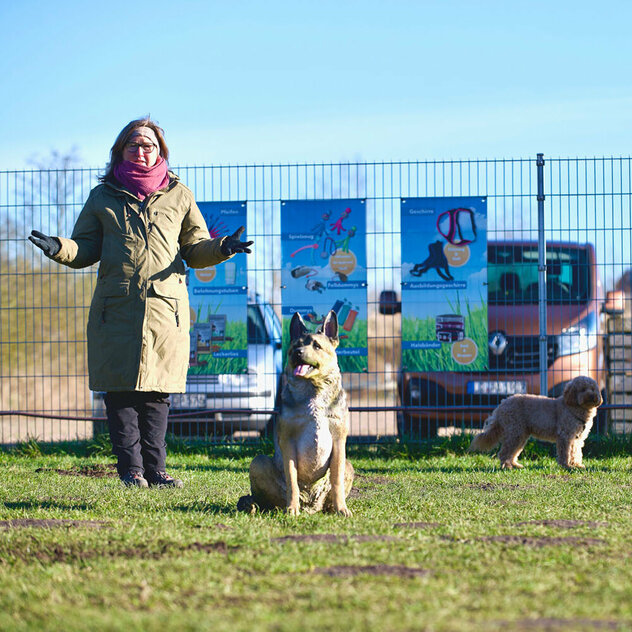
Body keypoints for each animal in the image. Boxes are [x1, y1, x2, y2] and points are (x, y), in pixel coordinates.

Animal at [238, 310, 356, 512]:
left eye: (316, 345)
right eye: (295, 346)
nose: (297, 353)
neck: (314, 391)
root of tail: (310, 506)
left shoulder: (339, 440)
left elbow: (337, 480)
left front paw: (342, 508)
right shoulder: (288, 441)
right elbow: (292, 480)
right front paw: (292, 508)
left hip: (348, 466)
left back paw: (331, 508)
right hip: (258, 463)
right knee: (264, 498)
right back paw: (253, 505)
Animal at [470, 376, 604, 470]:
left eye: (593, 389)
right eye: (582, 389)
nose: (592, 396)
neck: (572, 407)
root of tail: (502, 405)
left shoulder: (577, 439)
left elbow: (576, 452)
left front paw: (576, 465)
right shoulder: (565, 436)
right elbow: (565, 453)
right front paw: (566, 466)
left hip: (521, 435)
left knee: (513, 452)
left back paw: (515, 465)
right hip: (515, 433)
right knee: (504, 452)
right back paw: (507, 466)